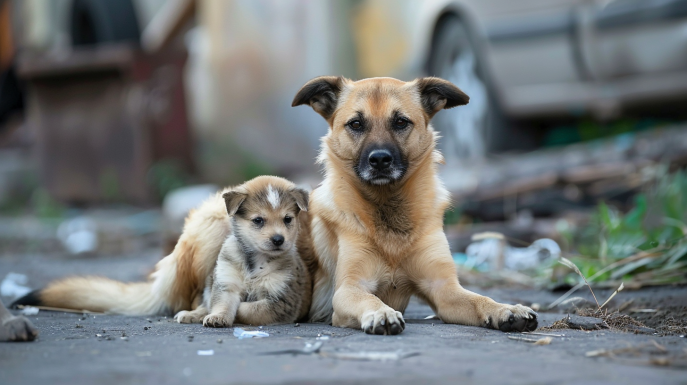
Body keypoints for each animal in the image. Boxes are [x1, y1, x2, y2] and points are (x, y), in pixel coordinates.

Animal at [175, 176, 310, 326]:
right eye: (258, 220)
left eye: (287, 219)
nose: (278, 239)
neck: (255, 264)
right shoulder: (227, 284)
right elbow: (223, 304)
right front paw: (218, 317)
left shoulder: (281, 300)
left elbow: (248, 309)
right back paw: (191, 314)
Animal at [290, 75, 536, 332]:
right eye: (356, 124)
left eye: (400, 122)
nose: (380, 159)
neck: (388, 208)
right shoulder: (349, 288)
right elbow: (369, 298)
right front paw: (382, 312)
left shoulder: (444, 288)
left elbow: (480, 299)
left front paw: (506, 309)